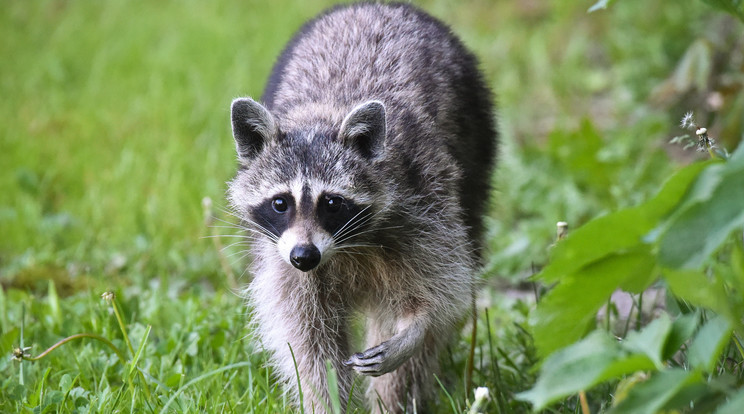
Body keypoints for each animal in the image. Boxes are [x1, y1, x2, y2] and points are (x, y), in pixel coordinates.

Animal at [227, 2, 494, 410]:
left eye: (332, 203)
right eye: (280, 203)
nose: (304, 256)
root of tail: (373, 6)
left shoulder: (425, 201)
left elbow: (444, 288)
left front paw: (417, 326)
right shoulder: (283, 259)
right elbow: (308, 341)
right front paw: (326, 403)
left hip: (476, 140)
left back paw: (396, 400)